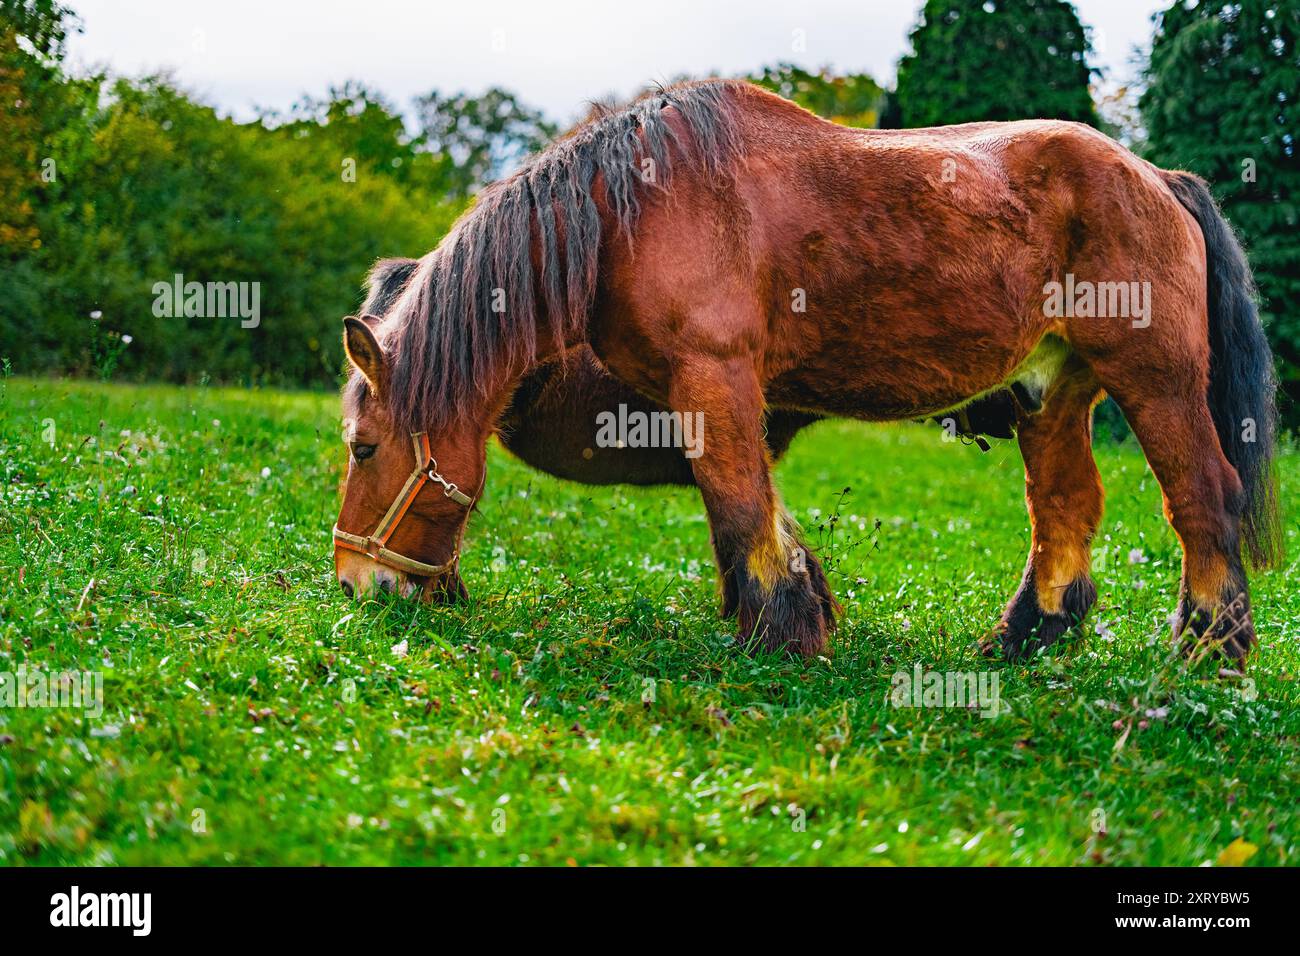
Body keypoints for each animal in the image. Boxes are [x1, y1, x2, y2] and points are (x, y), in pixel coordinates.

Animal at [335, 82, 1279, 660]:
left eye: (361, 448)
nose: (354, 581)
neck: (624, 215)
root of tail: (1156, 176)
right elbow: (747, 508)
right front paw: (794, 612)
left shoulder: (714, 381)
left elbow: (737, 504)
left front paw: (780, 635)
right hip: (1051, 393)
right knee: (1065, 509)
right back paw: (1024, 641)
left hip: (1154, 380)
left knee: (1203, 496)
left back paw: (1208, 649)